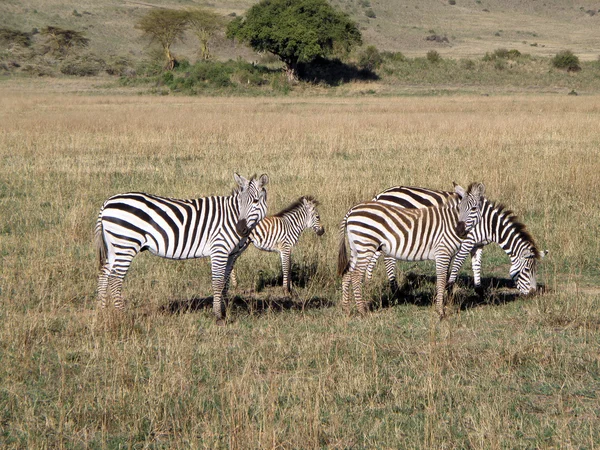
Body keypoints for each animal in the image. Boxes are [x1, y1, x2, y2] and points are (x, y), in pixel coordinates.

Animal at [94, 172, 270, 324]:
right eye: (240, 202)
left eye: (255, 201)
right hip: (126, 244)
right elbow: (218, 283)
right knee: (115, 279)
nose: (240, 229)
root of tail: (107, 203)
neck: (231, 216)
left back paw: (102, 311)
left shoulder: (231, 255)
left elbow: (225, 284)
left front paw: (224, 311)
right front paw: (218, 316)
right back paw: (121, 316)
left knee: (104, 274)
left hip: (114, 247)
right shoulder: (219, 249)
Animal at [338, 182, 488, 316]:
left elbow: (452, 274)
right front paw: (441, 311)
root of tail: (351, 211)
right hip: (367, 245)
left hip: (357, 248)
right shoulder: (445, 251)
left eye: (474, 208)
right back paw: (363, 310)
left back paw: (346, 309)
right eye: (459, 208)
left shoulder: (452, 252)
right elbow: (442, 279)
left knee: (347, 273)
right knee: (357, 275)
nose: (459, 231)